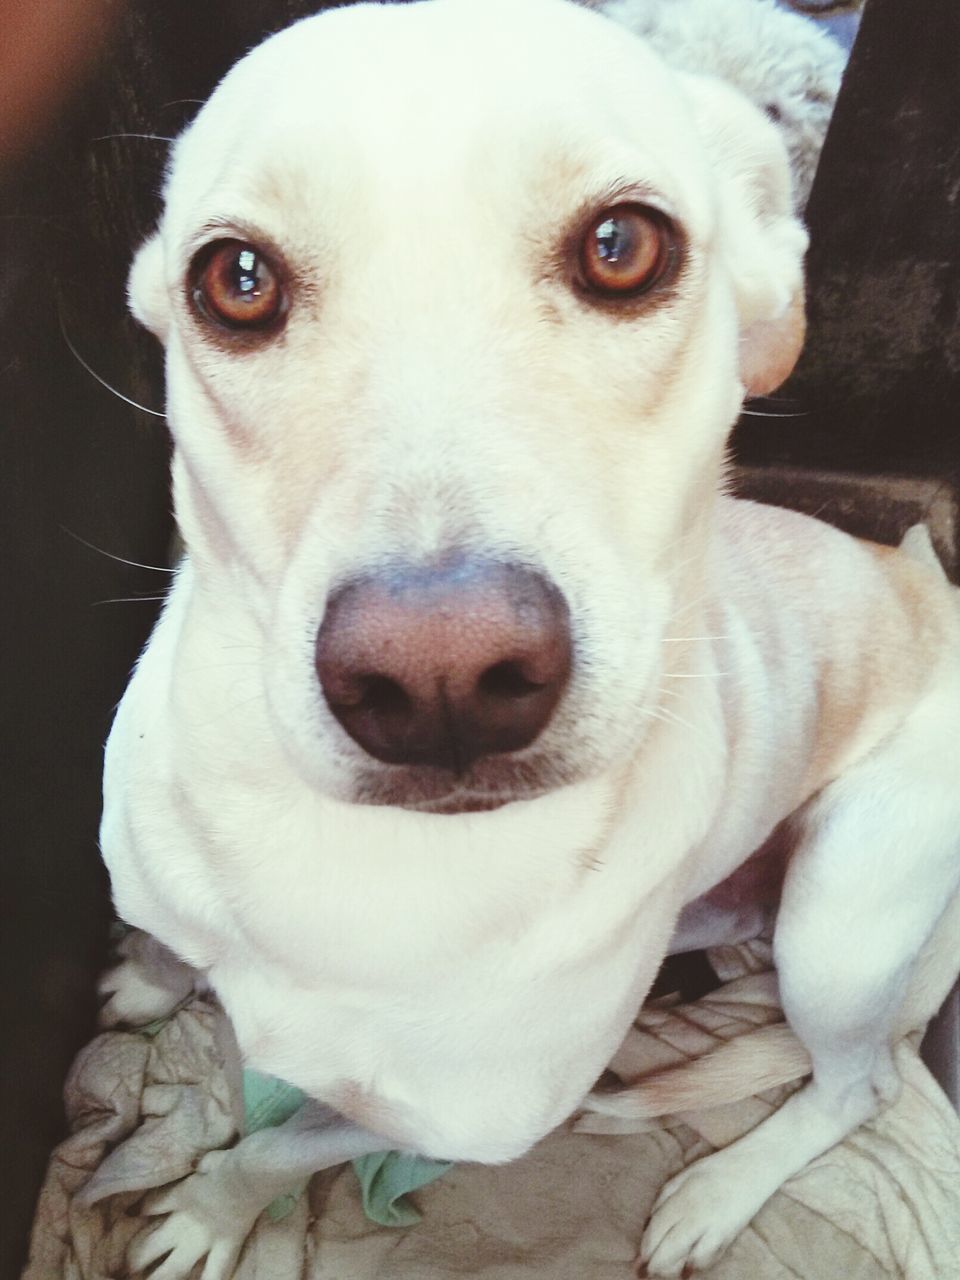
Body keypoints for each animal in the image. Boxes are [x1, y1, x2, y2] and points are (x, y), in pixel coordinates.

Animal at [99, 0, 960, 1274]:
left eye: (623, 246)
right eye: (236, 279)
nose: (442, 678)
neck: (360, 863)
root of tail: (925, 579)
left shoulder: (441, 1122)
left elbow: (278, 1146)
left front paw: (213, 1210)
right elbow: (167, 944)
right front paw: (153, 982)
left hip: (842, 923)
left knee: (865, 1083)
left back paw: (720, 1191)